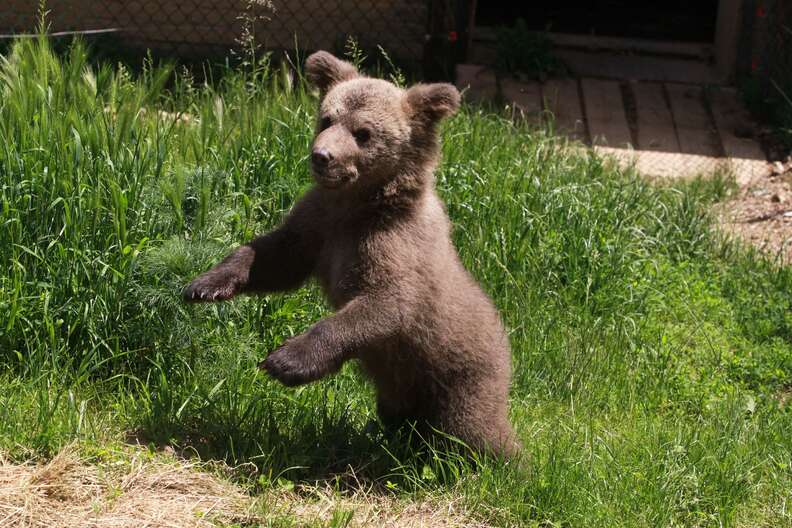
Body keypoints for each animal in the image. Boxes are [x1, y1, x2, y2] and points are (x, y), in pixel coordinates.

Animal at [183, 51, 520, 458]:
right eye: (327, 118)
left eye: (363, 132)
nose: (321, 156)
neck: (359, 205)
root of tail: (507, 348)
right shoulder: (318, 227)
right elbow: (275, 256)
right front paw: (205, 285)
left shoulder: (392, 245)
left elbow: (384, 303)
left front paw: (285, 360)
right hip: (403, 387)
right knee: (402, 418)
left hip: (459, 373)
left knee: (474, 430)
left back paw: (507, 463)